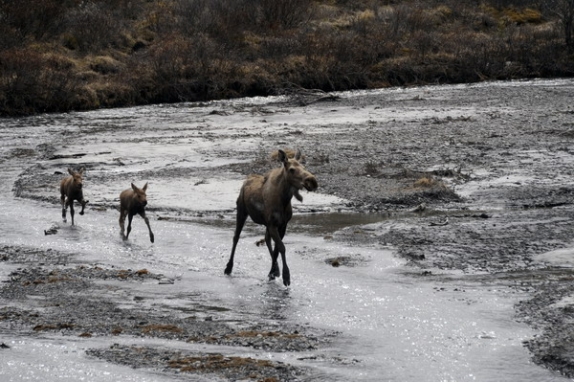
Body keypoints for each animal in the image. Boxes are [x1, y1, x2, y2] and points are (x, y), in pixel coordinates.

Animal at [225, 149, 318, 286]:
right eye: (291, 169)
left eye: (303, 166)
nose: (311, 181)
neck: (284, 200)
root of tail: (246, 180)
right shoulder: (273, 224)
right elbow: (281, 248)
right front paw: (286, 276)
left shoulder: (282, 225)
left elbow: (276, 249)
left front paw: (273, 272)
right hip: (241, 212)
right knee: (235, 238)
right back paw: (228, 267)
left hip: (265, 224)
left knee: (266, 239)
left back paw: (275, 269)